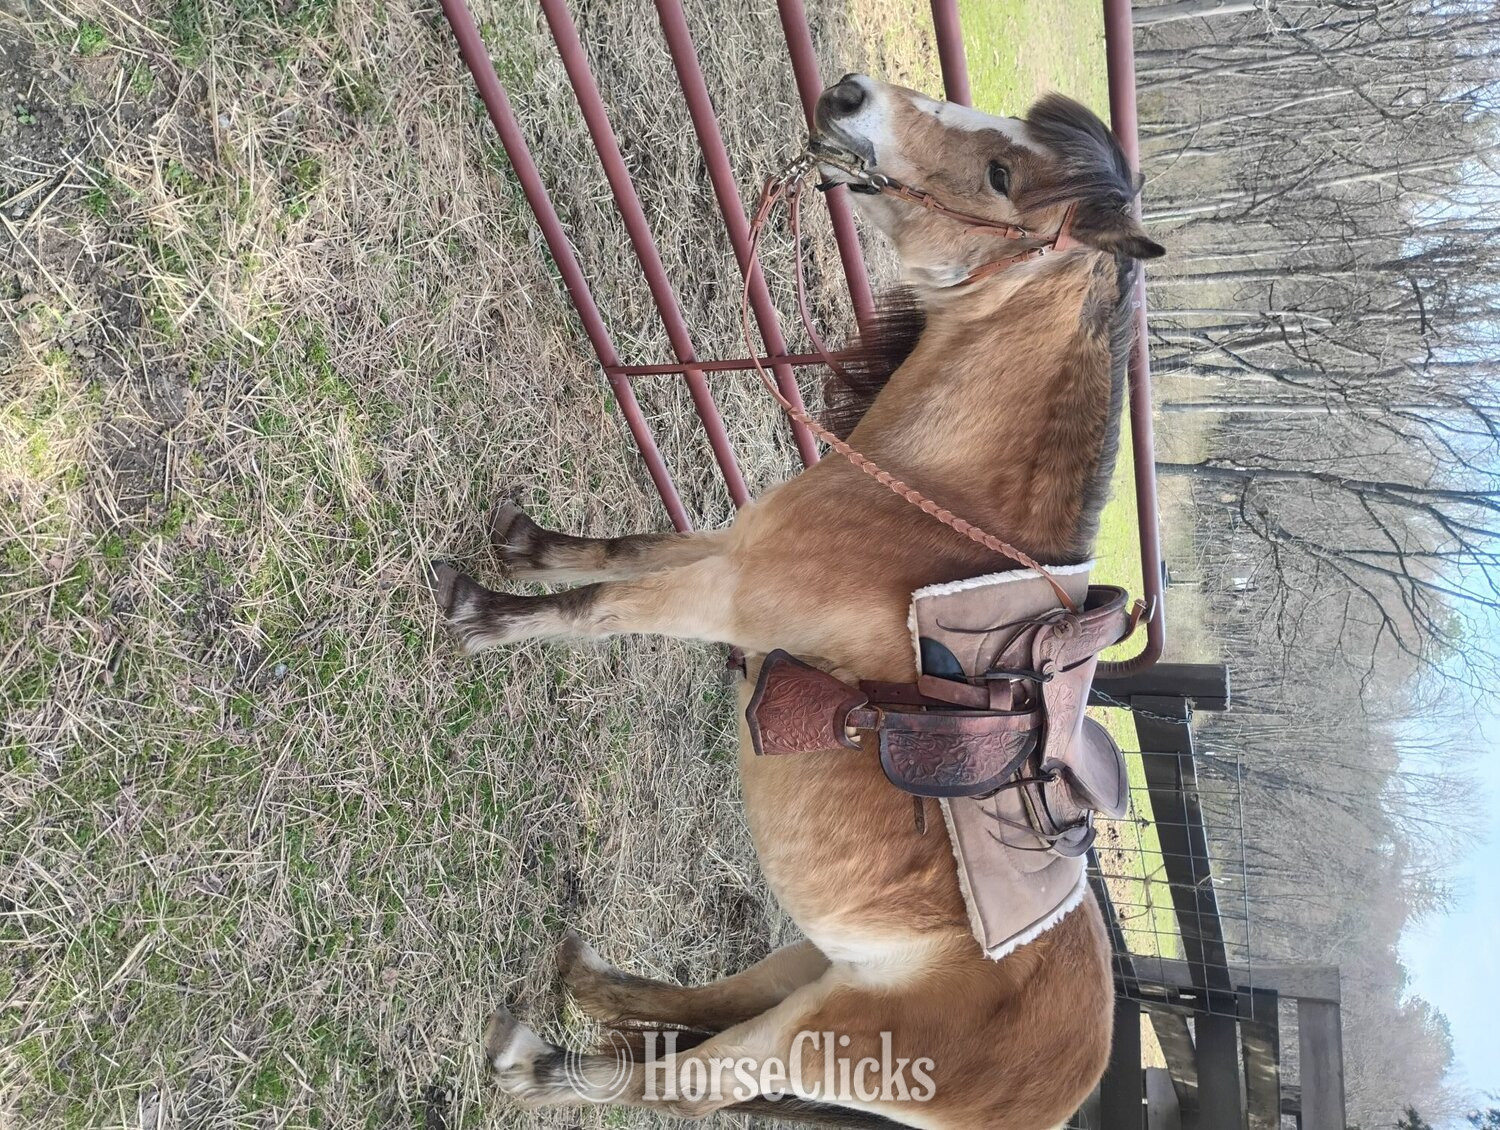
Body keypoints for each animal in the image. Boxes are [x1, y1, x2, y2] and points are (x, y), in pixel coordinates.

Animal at [431, 74, 1164, 1129]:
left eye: (999, 173)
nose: (852, 95)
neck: (919, 510)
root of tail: (1065, 1090)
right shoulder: (733, 545)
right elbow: (621, 553)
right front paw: (525, 548)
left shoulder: (723, 593)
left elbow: (597, 609)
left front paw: (483, 615)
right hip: (811, 959)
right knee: (704, 1007)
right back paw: (589, 981)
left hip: (817, 1037)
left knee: (682, 1081)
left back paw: (536, 1065)